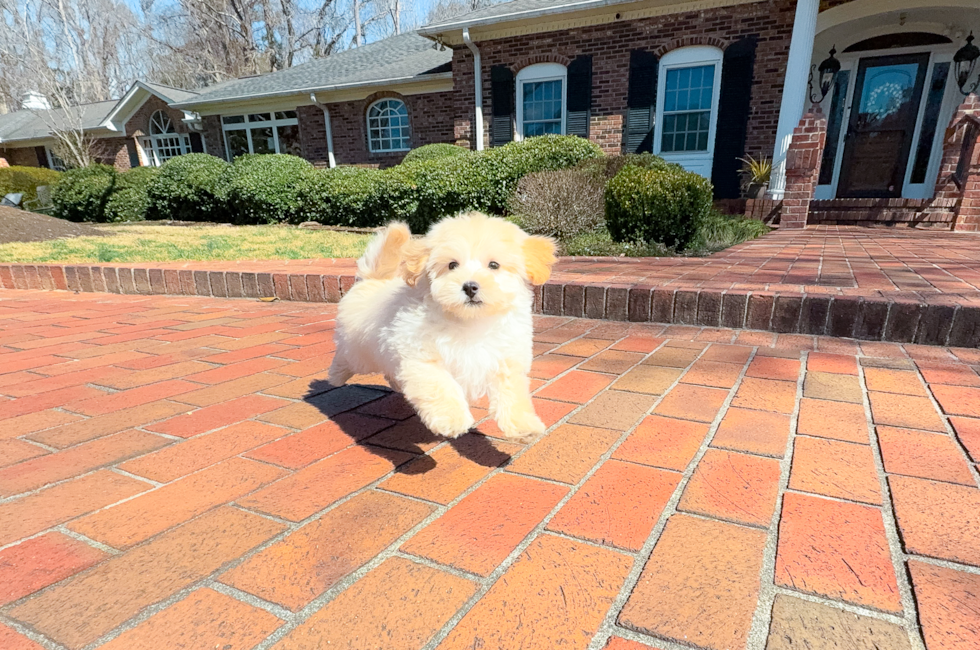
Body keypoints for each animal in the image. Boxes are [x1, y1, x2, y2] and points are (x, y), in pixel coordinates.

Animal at [334, 213, 556, 440]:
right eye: (452, 265)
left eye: (494, 265)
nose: (470, 286)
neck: (470, 321)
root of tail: (373, 280)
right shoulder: (421, 356)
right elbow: (441, 386)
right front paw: (452, 419)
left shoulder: (507, 357)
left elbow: (513, 392)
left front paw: (523, 424)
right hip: (359, 351)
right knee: (346, 357)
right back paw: (335, 376)